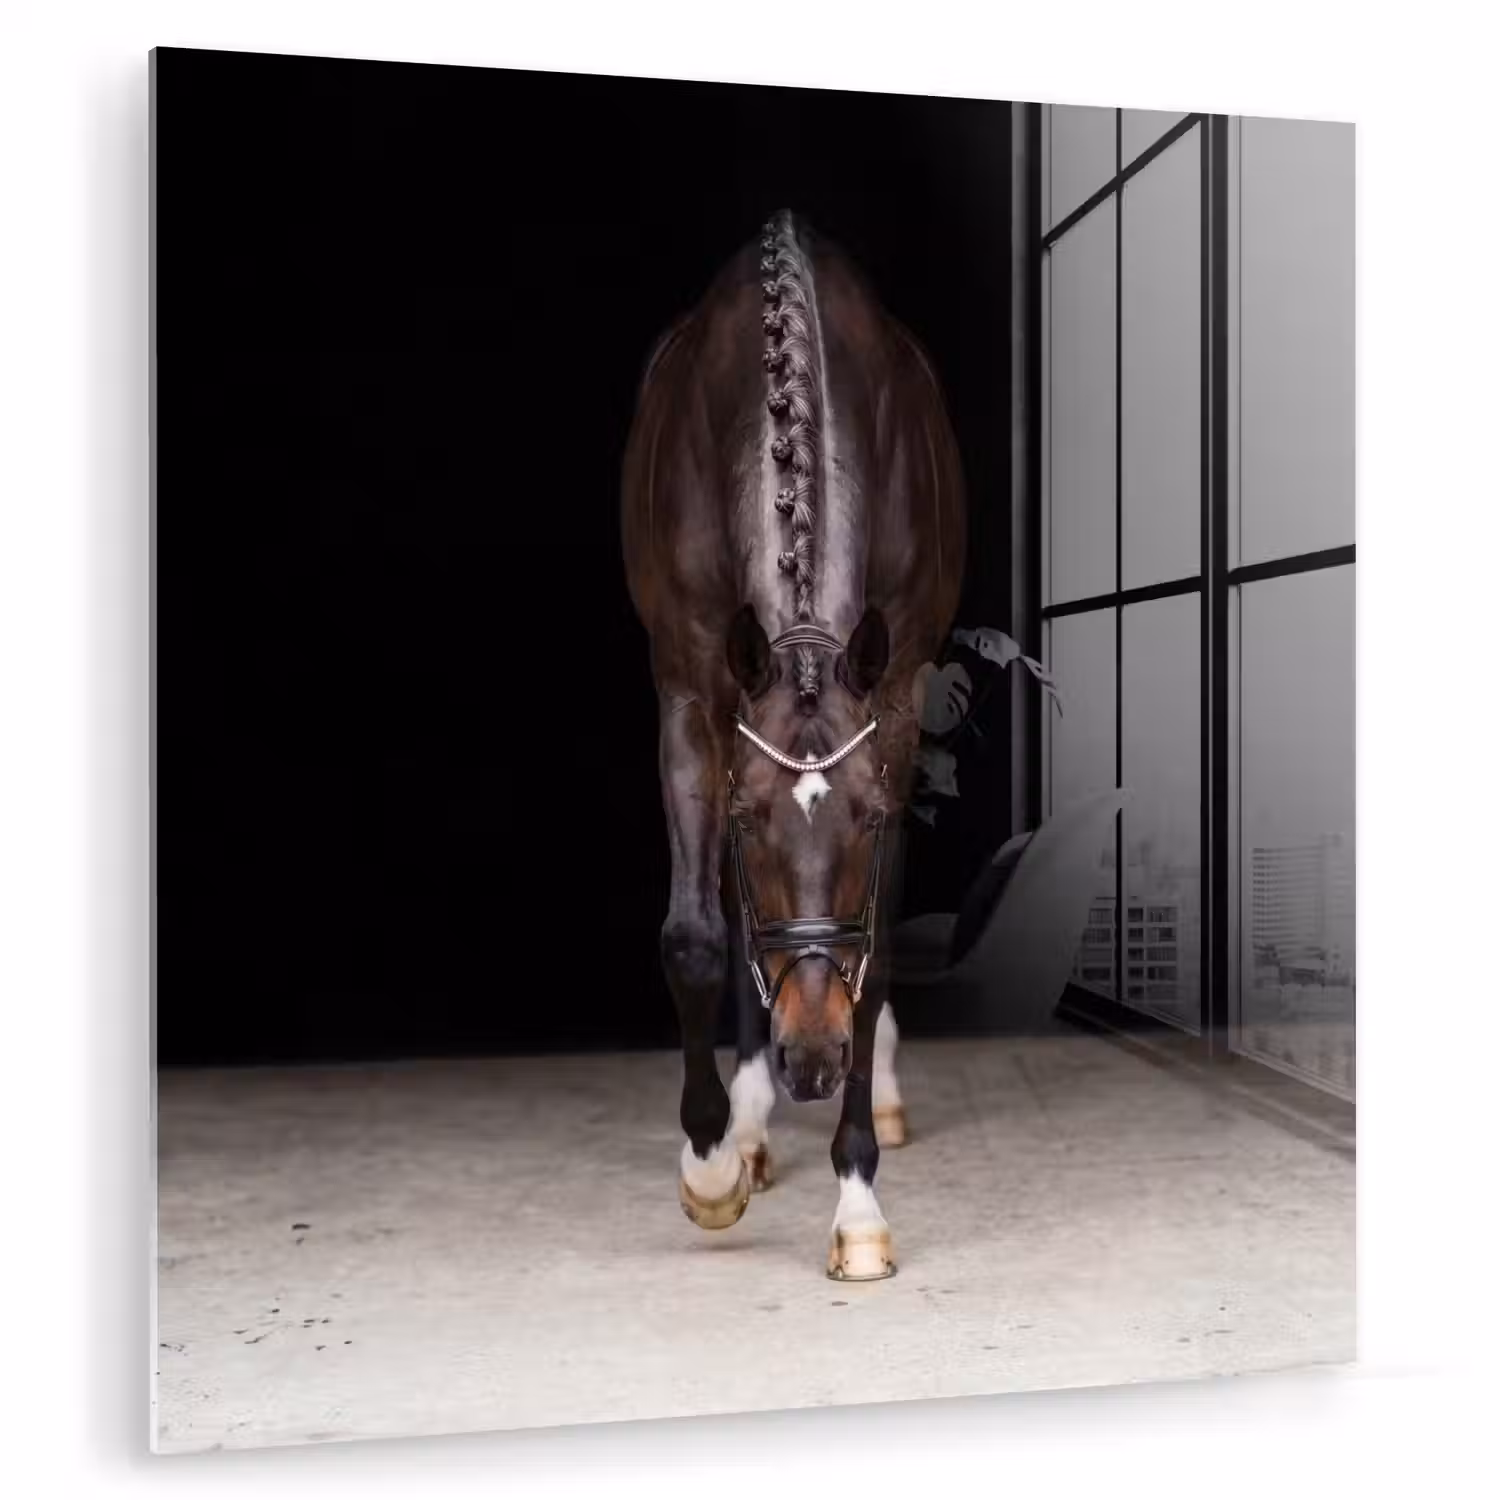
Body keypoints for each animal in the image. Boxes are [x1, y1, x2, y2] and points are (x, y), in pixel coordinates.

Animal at [621, 210, 965, 1279]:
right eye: (747, 818)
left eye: (867, 817)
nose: (812, 1058)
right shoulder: (692, 693)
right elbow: (696, 936)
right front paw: (711, 1166)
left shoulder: (895, 694)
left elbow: (876, 948)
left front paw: (858, 1204)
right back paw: (750, 1124)